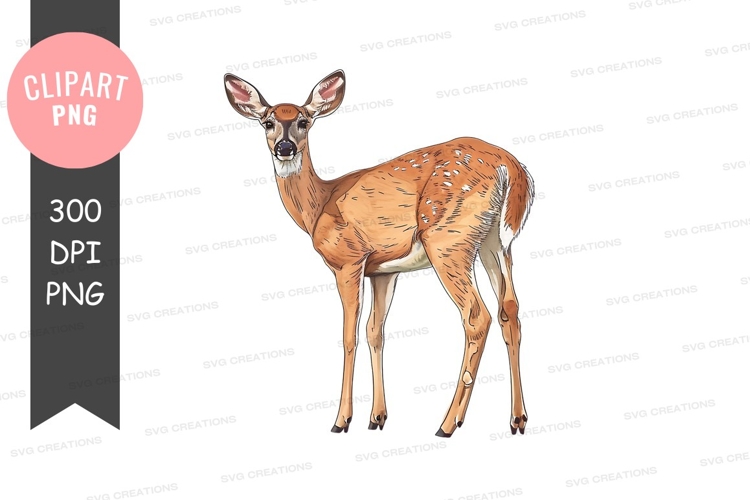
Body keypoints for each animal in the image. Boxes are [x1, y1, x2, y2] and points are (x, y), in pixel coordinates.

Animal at [223, 69, 535, 438]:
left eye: (303, 121)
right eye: (268, 122)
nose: (285, 148)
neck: (318, 207)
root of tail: (512, 168)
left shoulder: (348, 260)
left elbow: (349, 336)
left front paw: (342, 420)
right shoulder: (383, 271)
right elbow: (376, 332)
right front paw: (377, 418)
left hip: (448, 240)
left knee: (476, 316)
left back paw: (448, 423)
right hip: (495, 243)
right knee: (510, 310)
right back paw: (517, 419)